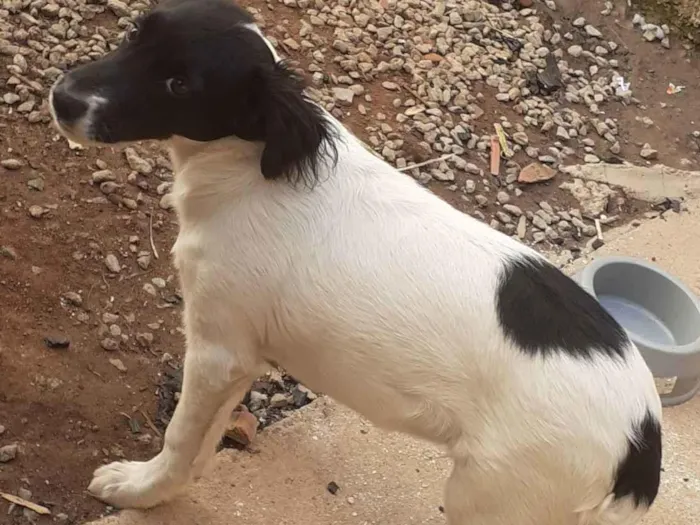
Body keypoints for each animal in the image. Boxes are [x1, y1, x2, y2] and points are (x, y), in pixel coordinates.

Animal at [49, 2, 660, 520]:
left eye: (180, 86)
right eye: (135, 33)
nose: (64, 99)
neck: (251, 166)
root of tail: (643, 439)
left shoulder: (220, 348)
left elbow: (179, 438)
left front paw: (138, 490)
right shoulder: (241, 359)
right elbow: (202, 446)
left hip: (493, 497)